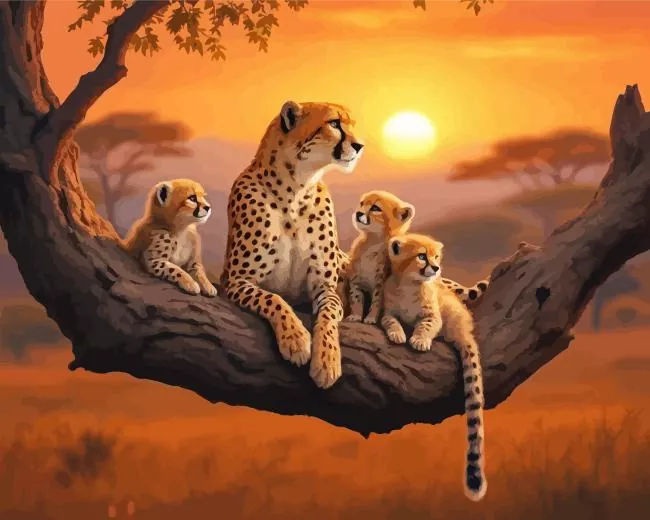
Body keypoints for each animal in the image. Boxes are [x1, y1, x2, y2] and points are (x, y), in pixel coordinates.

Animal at [220, 100, 364, 389]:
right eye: (334, 123)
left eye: (352, 124)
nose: (360, 145)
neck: (296, 190)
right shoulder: (236, 279)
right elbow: (273, 298)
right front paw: (295, 339)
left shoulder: (325, 286)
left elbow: (329, 316)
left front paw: (327, 360)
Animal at [381, 232, 487, 502]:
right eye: (421, 255)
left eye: (436, 256)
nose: (437, 268)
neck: (411, 284)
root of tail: (466, 331)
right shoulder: (387, 311)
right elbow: (391, 320)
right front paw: (397, 334)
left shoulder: (433, 316)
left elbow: (427, 325)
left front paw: (419, 340)